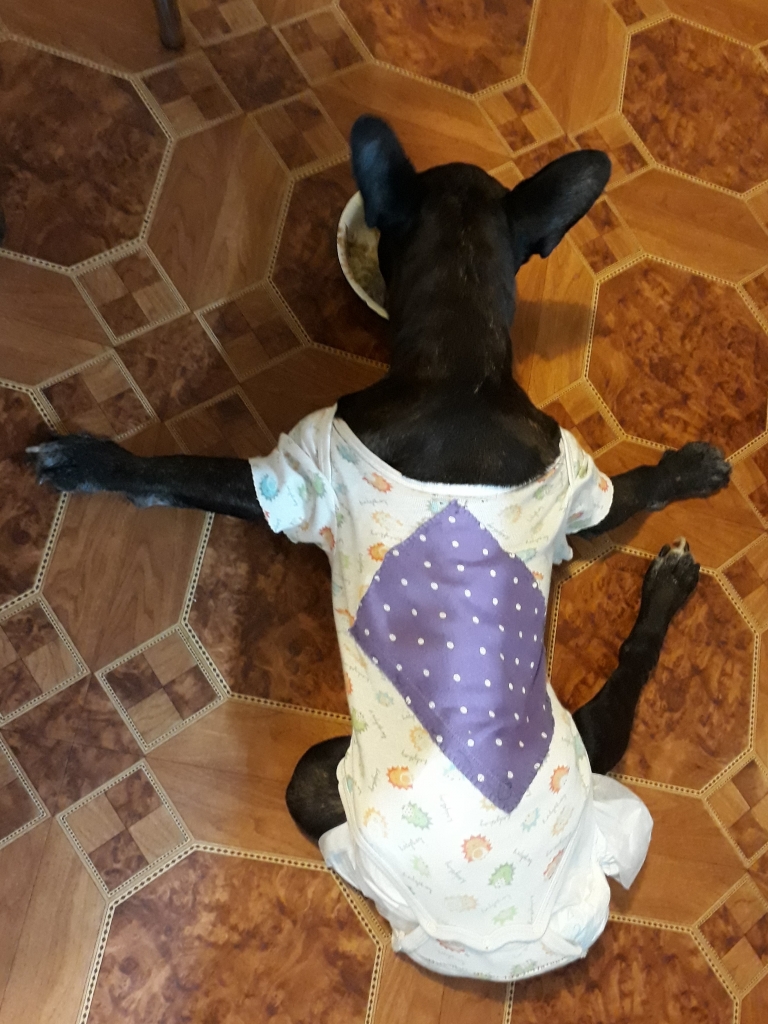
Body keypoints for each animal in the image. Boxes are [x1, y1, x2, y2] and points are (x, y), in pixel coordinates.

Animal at [30, 116, 731, 981]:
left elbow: (177, 473)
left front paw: (88, 461)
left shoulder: (293, 476)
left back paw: (669, 583)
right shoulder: (574, 486)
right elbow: (623, 494)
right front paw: (688, 471)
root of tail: (530, 931)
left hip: (318, 778)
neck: (462, 361)